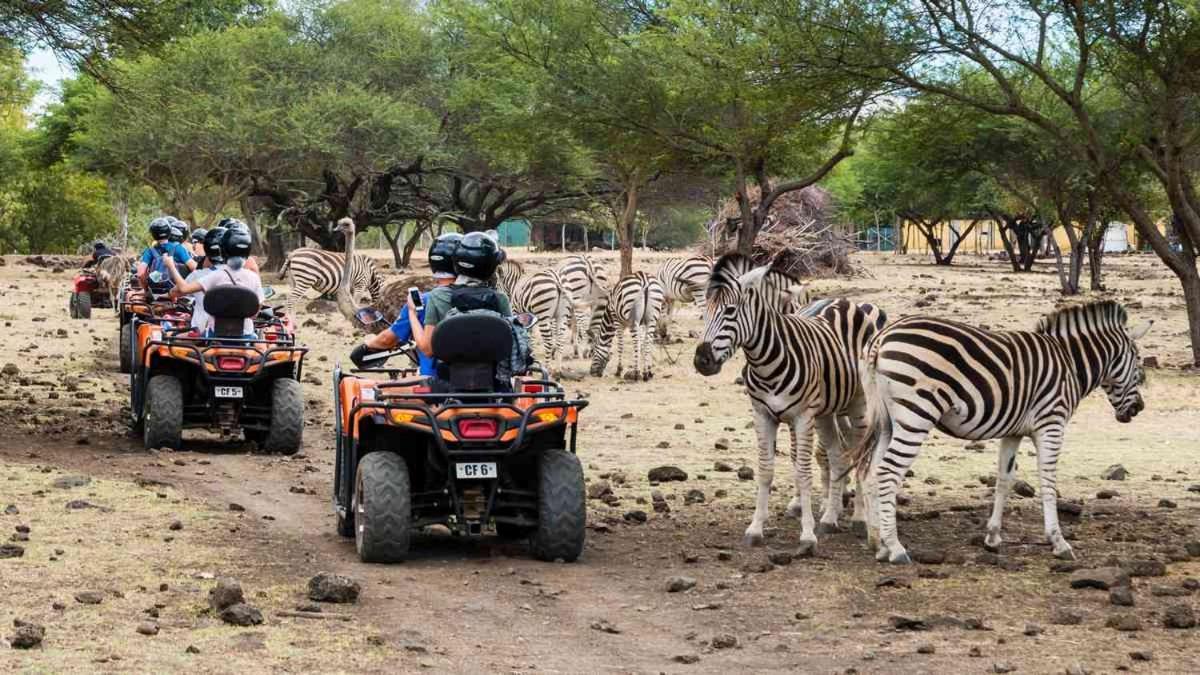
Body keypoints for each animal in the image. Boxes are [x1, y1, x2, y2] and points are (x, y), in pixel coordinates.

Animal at [691, 254, 888, 550]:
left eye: (730, 311)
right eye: (705, 313)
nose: (702, 360)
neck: (767, 362)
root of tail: (845, 302)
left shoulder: (802, 416)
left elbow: (803, 471)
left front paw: (807, 534)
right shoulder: (762, 414)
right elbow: (765, 471)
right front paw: (756, 528)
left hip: (859, 406)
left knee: (859, 456)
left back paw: (859, 519)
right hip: (827, 413)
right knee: (837, 454)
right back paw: (830, 517)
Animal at [854, 299, 1152, 562]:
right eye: (1138, 361)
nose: (1139, 408)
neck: (1069, 362)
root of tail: (882, 338)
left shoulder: (1013, 431)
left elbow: (1004, 479)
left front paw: (993, 537)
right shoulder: (1051, 423)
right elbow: (1048, 480)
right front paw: (1058, 542)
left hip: (887, 421)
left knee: (871, 473)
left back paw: (878, 543)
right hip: (917, 415)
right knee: (888, 471)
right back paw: (896, 548)